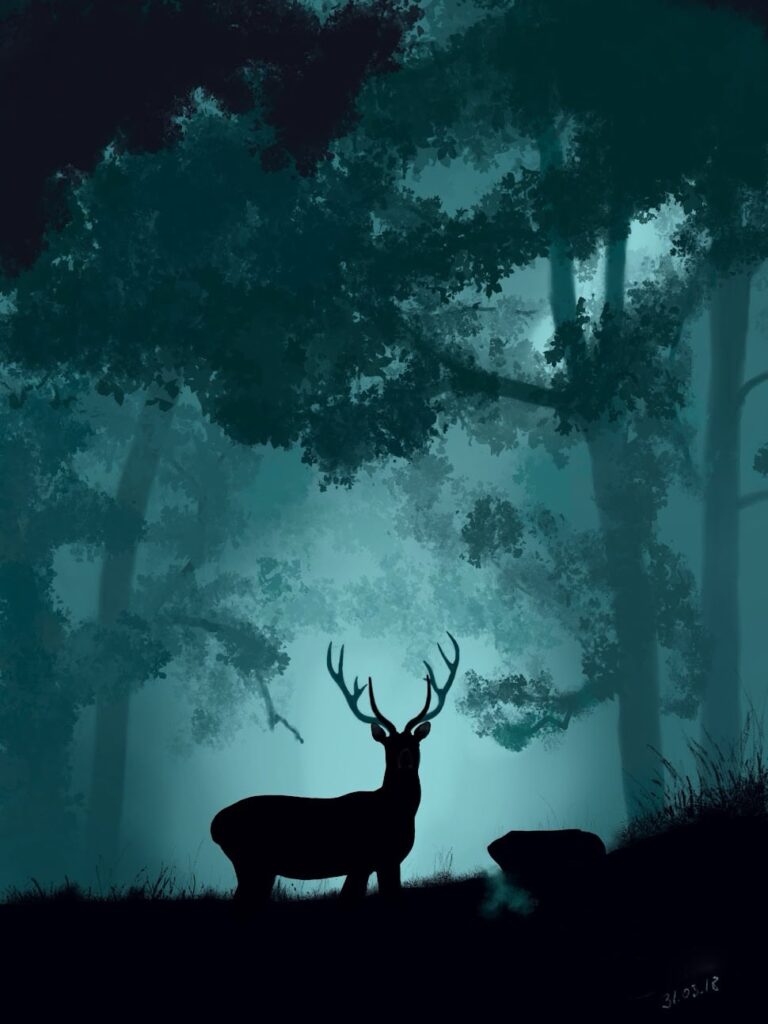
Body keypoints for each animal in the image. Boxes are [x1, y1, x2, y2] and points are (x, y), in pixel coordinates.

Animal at [210, 632, 460, 904]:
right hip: (250, 862)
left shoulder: (381, 862)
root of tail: (215, 824)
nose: (405, 758)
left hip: (261, 868)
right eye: (388, 745)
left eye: (415, 743)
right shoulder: (369, 860)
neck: (394, 810)